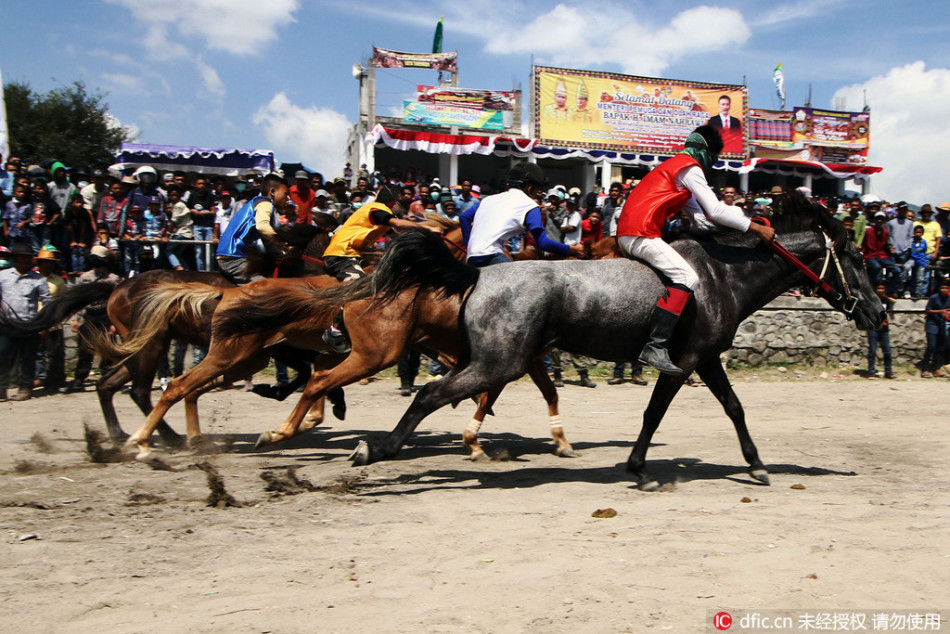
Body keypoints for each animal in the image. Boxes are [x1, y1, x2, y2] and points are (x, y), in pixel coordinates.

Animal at [348, 194, 884, 488]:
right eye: (857, 256)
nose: (879, 312)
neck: (723, 275)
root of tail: (476, 274)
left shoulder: (707, 359)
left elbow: (734, 407)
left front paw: (755, 464)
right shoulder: (683, 360)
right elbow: (654, 412)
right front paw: (638, 465)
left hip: (493, 359)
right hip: (499, 361)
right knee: (429, 393)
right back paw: (376, 450)